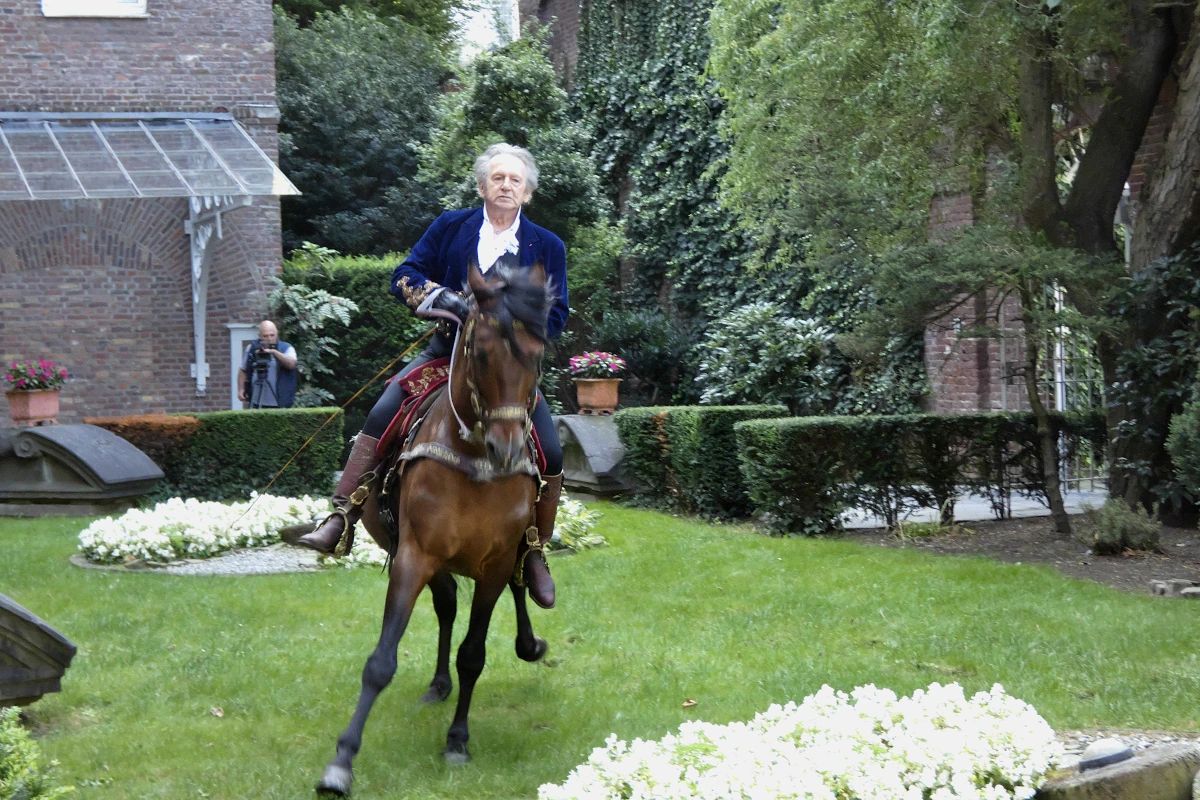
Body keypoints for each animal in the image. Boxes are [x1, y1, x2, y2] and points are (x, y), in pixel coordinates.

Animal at [321, 266, 559, 796]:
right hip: (431, 558)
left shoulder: (494, 565)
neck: (473, 460)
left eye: (537, 358)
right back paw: (438, 683)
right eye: (481, 352)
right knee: (447, 604)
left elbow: (474, 654)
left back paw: (529, 638)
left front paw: (457, 741)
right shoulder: (414, 555)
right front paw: (341, 761)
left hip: (510, 552)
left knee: (521, 579)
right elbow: (381, 662)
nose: (508, 448)